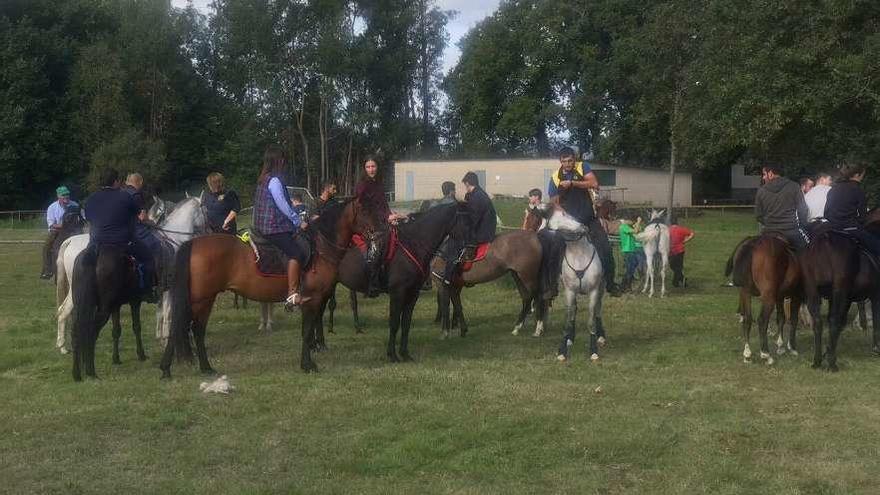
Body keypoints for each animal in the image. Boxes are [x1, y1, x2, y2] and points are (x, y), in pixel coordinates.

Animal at [57, 196, 208, 362]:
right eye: (205, 210)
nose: (208, 229)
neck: (173, 241)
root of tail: (70, 241)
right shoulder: (170, 289)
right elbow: (168, 314)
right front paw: (167, 341)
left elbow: (161, 312)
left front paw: (161, 338)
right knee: (66, 312)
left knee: (63, 311)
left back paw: (63, 346)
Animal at [161, 198, 378, 376]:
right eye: (365, 212)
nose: (377, 234)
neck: (320, 249)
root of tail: (193, 244)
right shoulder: (313, 299)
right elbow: (307, 331)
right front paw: (308, 365)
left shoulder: (314, 300)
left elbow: (307, 331)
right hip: (201, 298)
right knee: (186, 326)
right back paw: (171, 369)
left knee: (193, 328)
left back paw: (201, 368)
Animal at [548, 209, 608, 360]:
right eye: (558, 228)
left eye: (568, 215)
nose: (583, 228)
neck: (579, 255)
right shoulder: (569, 291)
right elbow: (568, 321)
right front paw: (562, 350)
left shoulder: (593, 291)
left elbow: (591, 321)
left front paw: (593, 351)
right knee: (575, 310)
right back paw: (570, 338)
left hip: (601, 288)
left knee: (598, 309)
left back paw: (601, 336)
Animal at [724, 234, 800, 366]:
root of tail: (753, 242)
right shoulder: (796, 295)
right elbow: (793, 319)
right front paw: (791, 347)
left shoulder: (779, 296)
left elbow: (781, 318)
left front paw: (781, 346)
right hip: (768, 296)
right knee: (762, 320)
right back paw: (766, 354)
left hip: (745, 292)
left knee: (747, 320)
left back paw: (747, 354)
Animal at [800, 213, 880, 372]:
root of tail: (825, 239)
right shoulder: (875, 296)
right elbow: (876, 322)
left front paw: (828, 350)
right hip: (840, 291)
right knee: (834, 320)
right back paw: (832, 363)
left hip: (813, 291)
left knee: (819, 322)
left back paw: (818, 360)